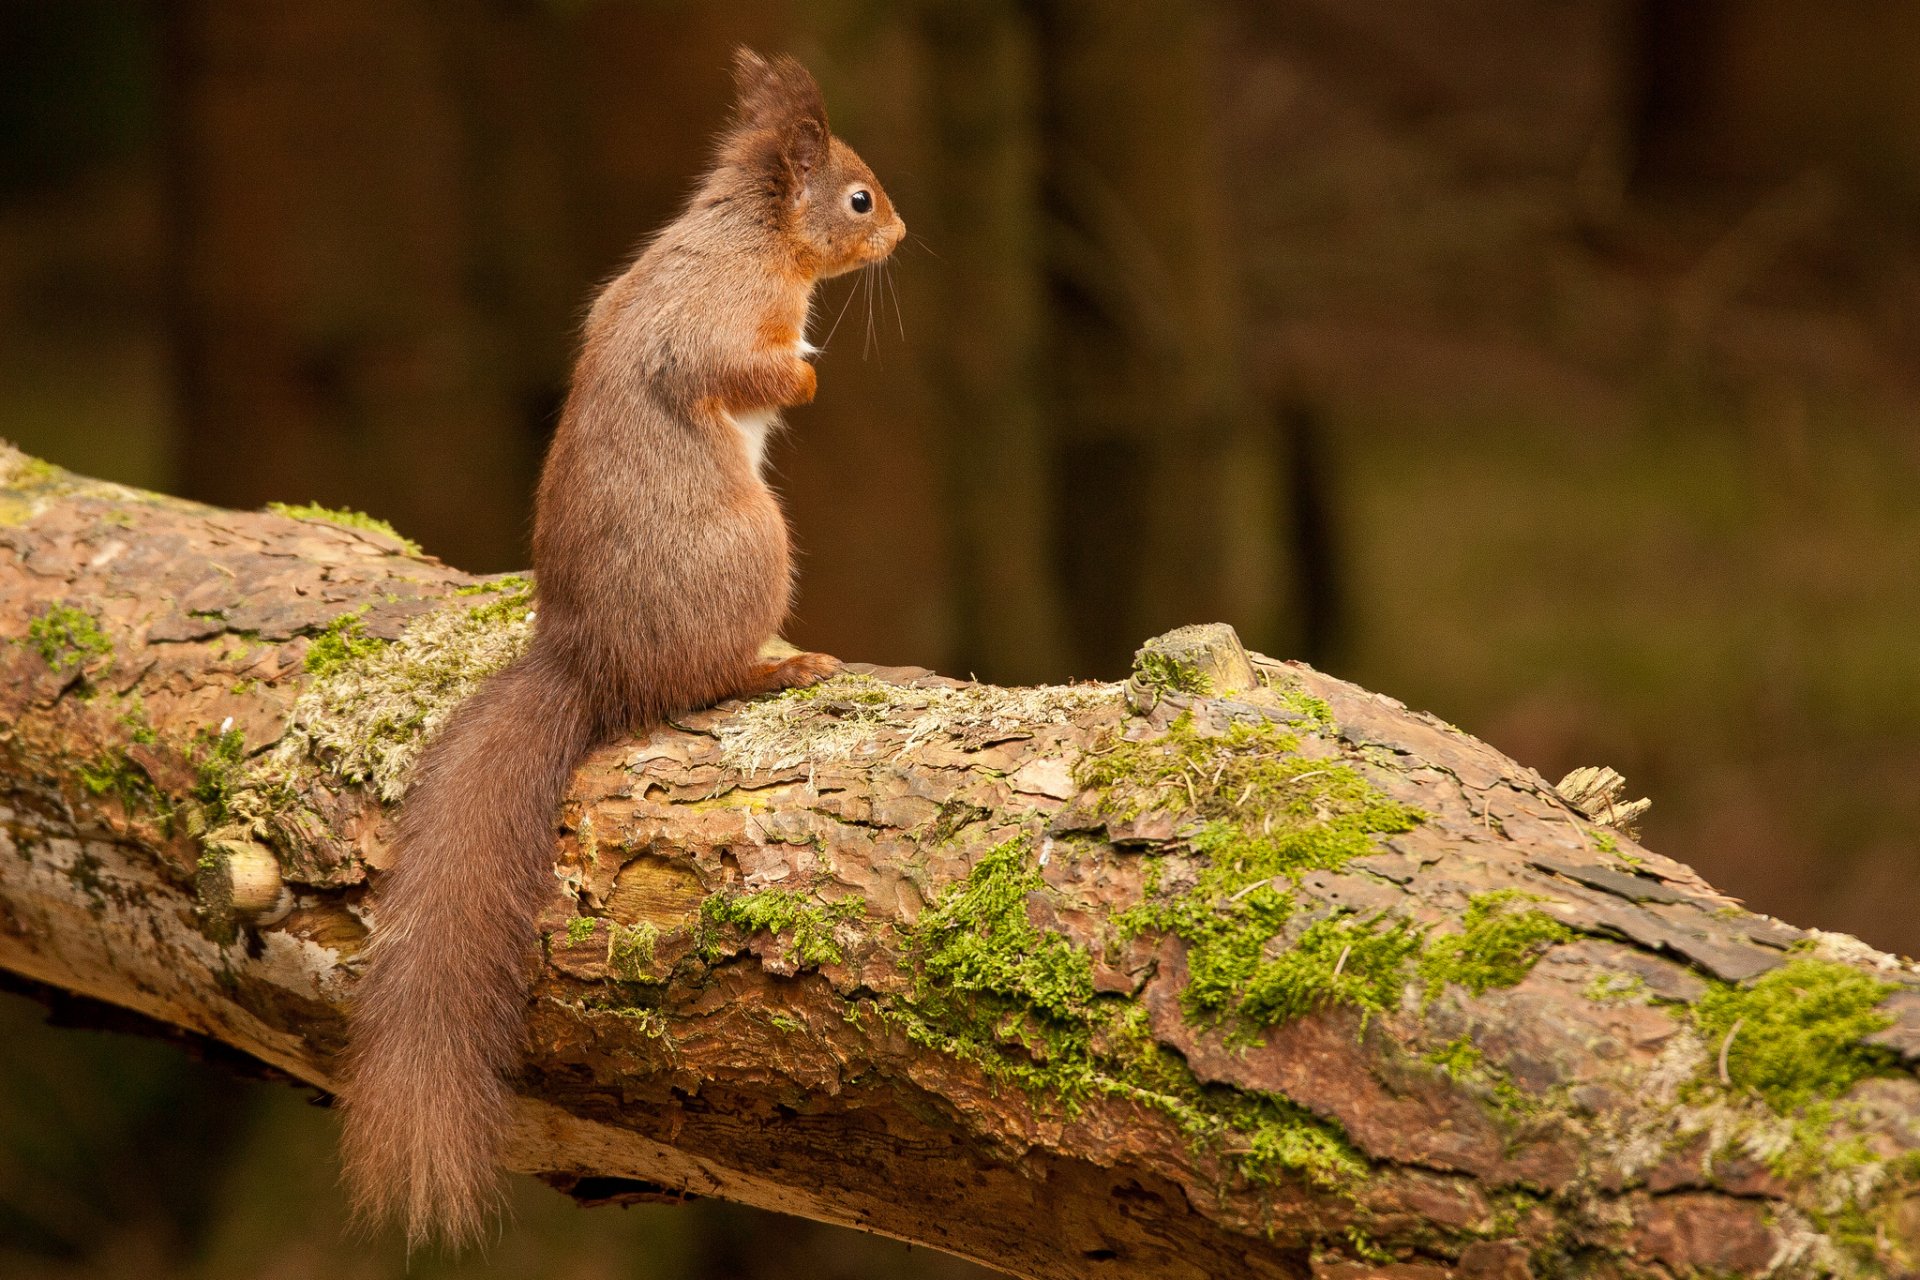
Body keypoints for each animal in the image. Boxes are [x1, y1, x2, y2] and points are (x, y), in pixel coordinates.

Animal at [339, 49, 905, 1249]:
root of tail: (589, 663)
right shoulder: (719, 322)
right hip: (756, 549)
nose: (901, 233)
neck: (752, 232)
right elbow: (740, 369)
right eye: (858, 199)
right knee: (709, 680)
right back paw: (780, 663)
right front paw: (806, 375)